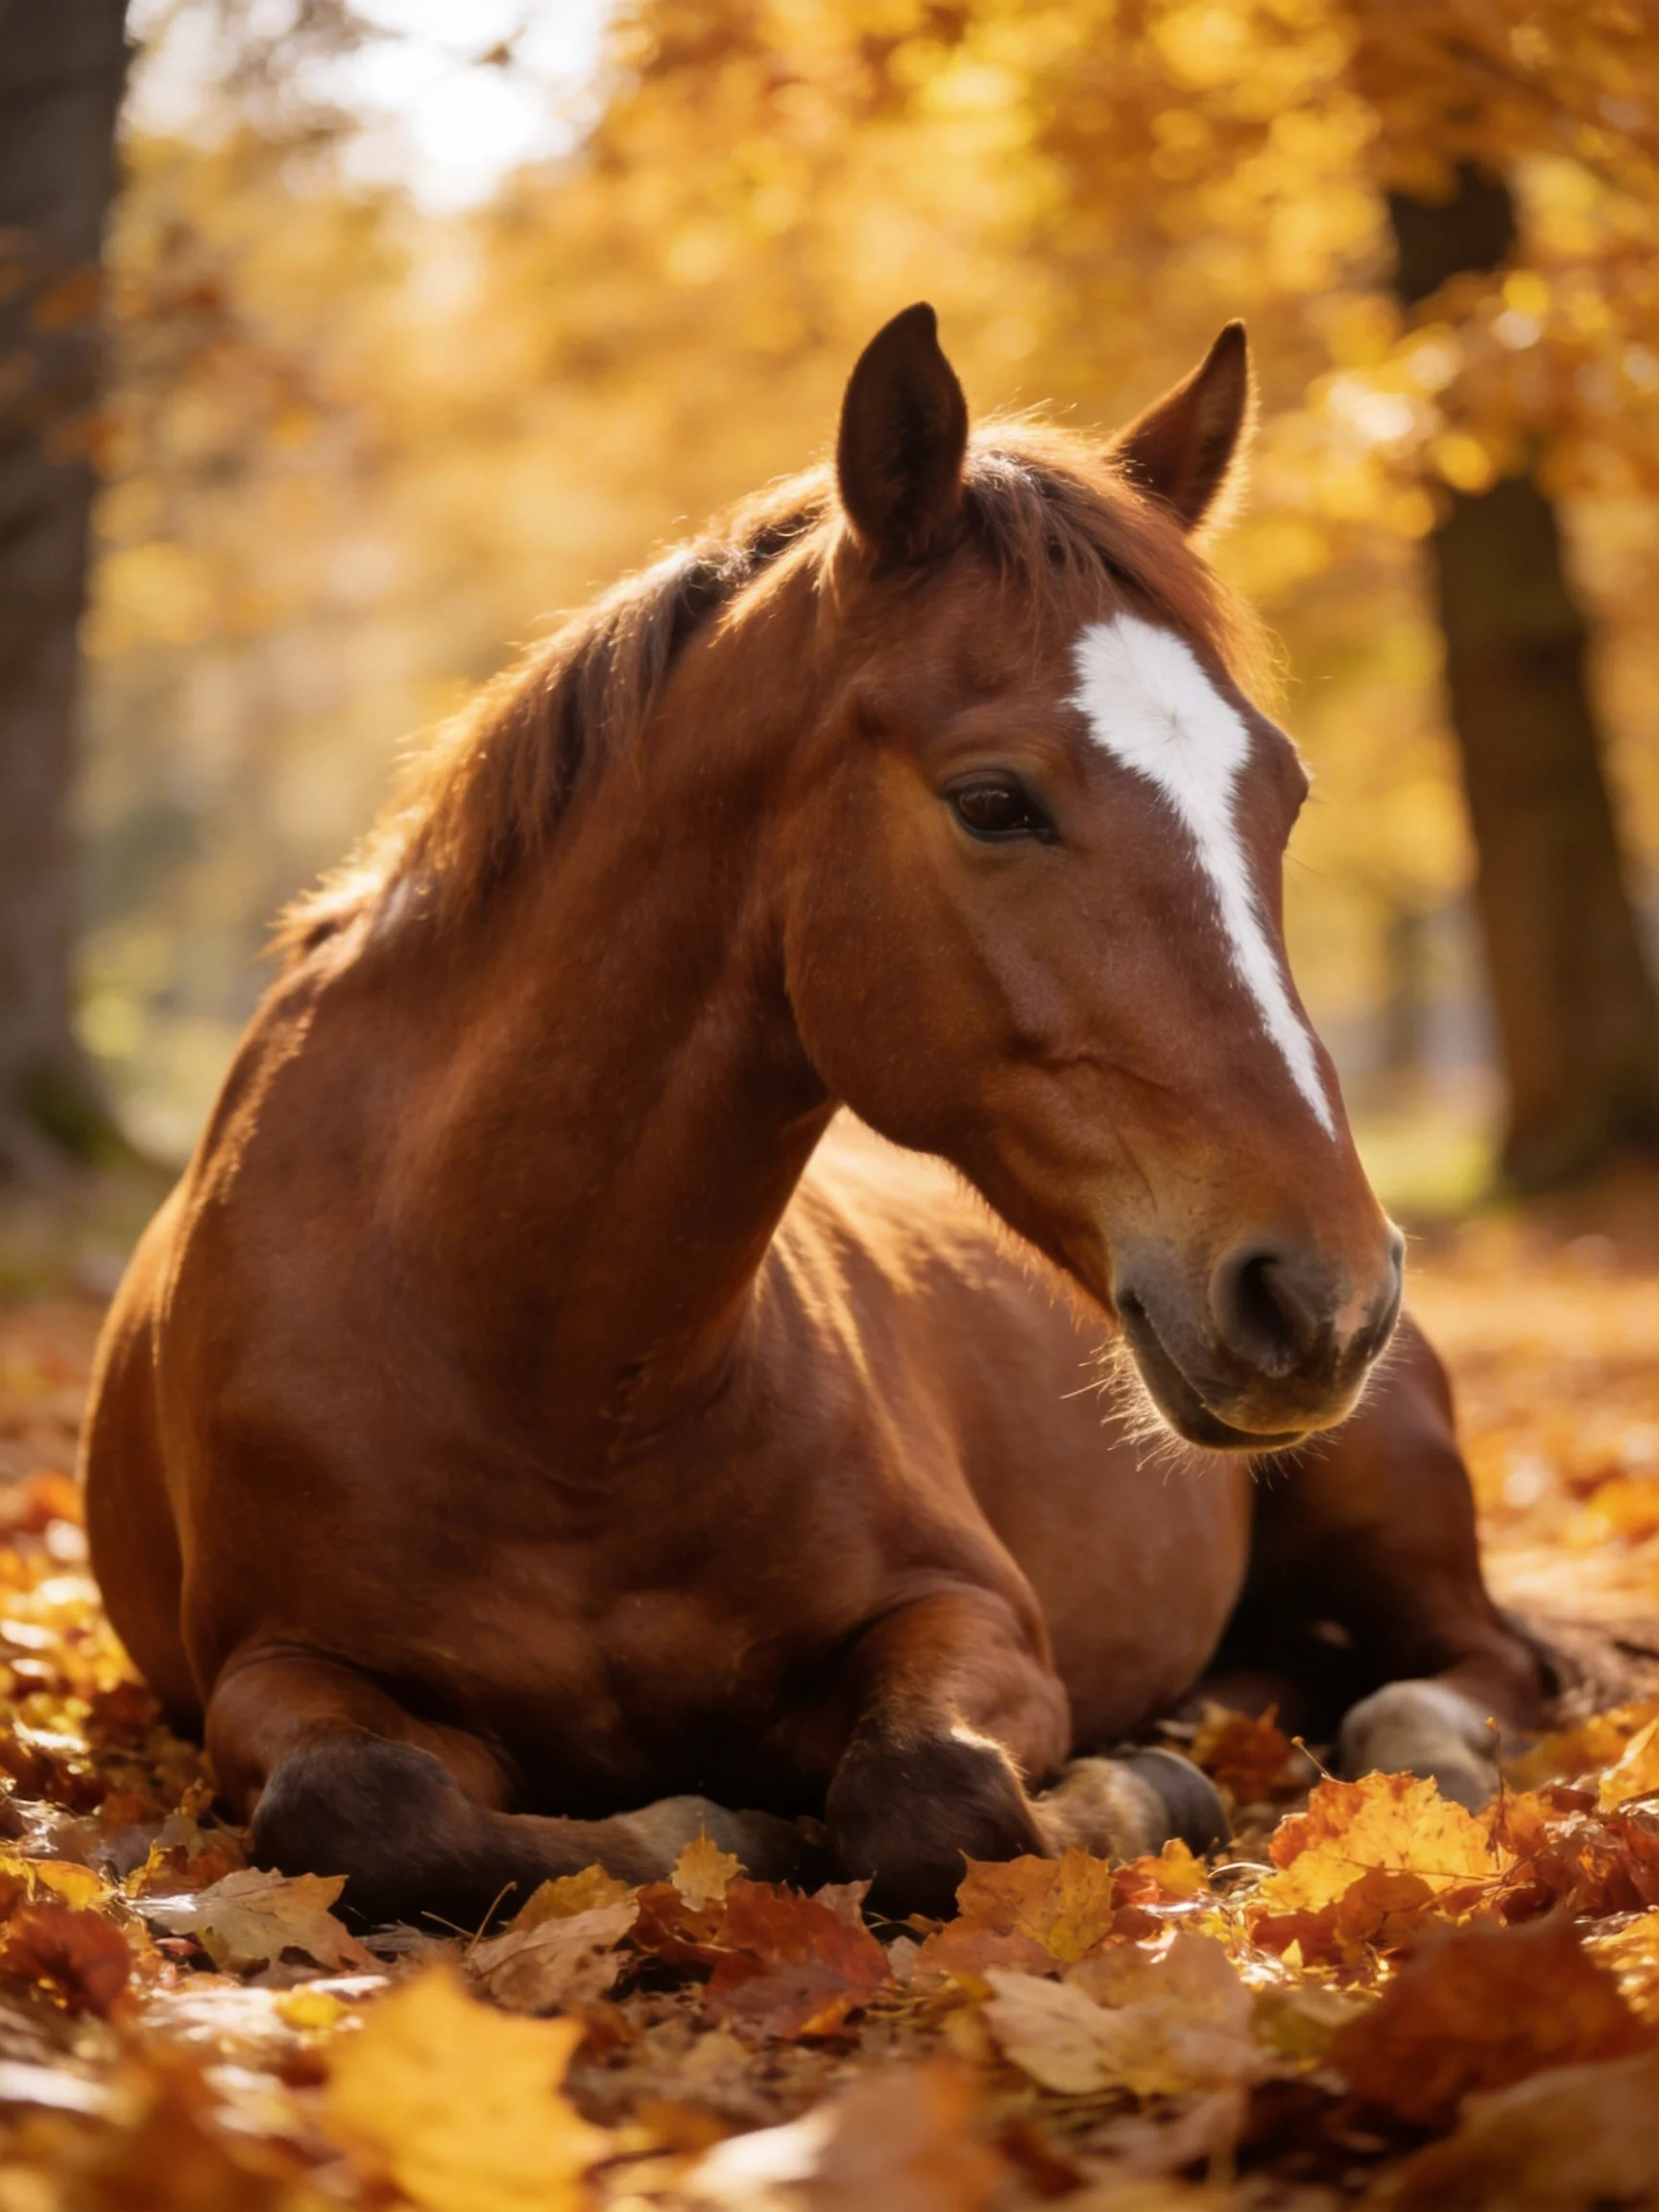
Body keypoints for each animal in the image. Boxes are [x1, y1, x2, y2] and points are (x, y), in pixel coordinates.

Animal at [81, 305, 1548, 1924]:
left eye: (1280, 796)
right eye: (992, 800)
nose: (1324, 1294)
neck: (551, 1388)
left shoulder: (973, 1616)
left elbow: (935, 1792)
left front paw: (1136, 1789)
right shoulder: (272, 1669)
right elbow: (366, 1806)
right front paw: (712, 1826)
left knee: (1469, 1668)